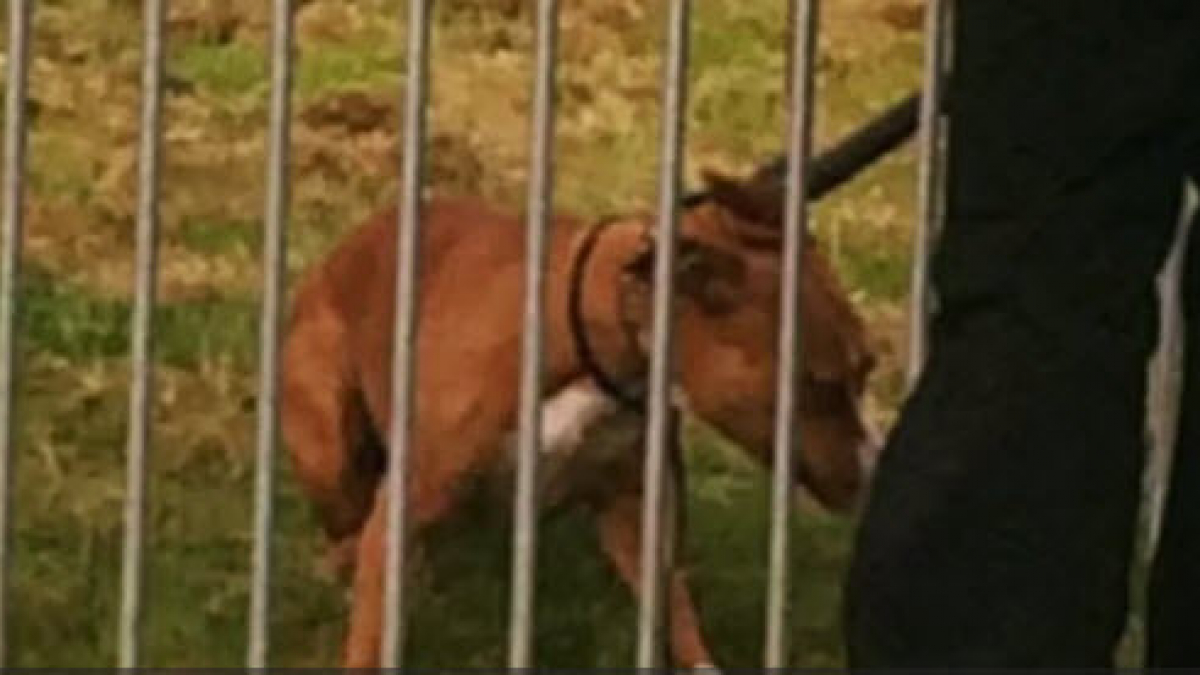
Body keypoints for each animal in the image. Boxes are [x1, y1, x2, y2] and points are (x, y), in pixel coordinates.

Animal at [282, 169, 883, 667]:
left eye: (867, 369)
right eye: (821, 384)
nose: (874, 468)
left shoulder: (634, 513)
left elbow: (676, 612)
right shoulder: (406, 503)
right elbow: (371, 634)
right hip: (329, 447)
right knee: (350, 526)